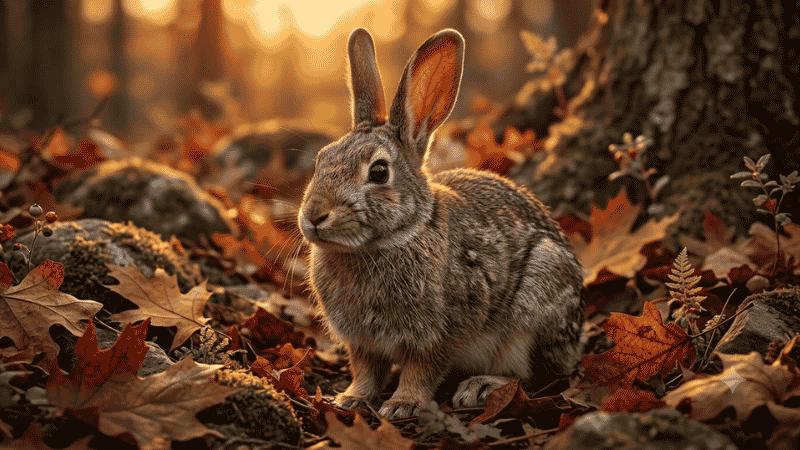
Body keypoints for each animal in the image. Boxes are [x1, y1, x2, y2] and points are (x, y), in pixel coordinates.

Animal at [297, 28, 584, 419]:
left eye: (378, 171)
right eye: (320, 159)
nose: (313, 216)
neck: (394, 239)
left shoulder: (441, 333)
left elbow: (422, 371)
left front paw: (402, 405)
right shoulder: (362, 343)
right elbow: (366, 370)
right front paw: (351, 398)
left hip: (538, 301)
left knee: (538, 375)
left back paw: (480, 387)